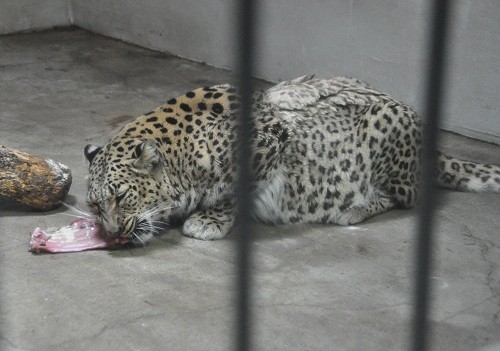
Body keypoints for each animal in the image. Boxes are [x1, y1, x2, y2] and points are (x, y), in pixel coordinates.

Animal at [84, 75, 498, 243]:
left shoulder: (270, 142)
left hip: (388, 128)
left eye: (122, 197)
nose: (112, 233)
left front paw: (208, 221)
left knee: (407, 196)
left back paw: (353, 210)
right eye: (95, 205)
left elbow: (232, 192)